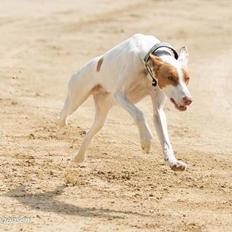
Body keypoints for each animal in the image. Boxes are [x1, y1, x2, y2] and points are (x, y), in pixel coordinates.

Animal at [59, 33, 192, 170]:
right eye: (170, 77)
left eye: (187, 78)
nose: (188, 99)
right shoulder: (119, 95)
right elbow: (139, 114)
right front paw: (146, 141)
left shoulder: (157, 110)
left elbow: (165, 140)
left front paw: (172, 162)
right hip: (76, 99)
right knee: (63, 114)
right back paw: (63, 123)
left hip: (101, 117)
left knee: (89, 134)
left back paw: (79, 157)